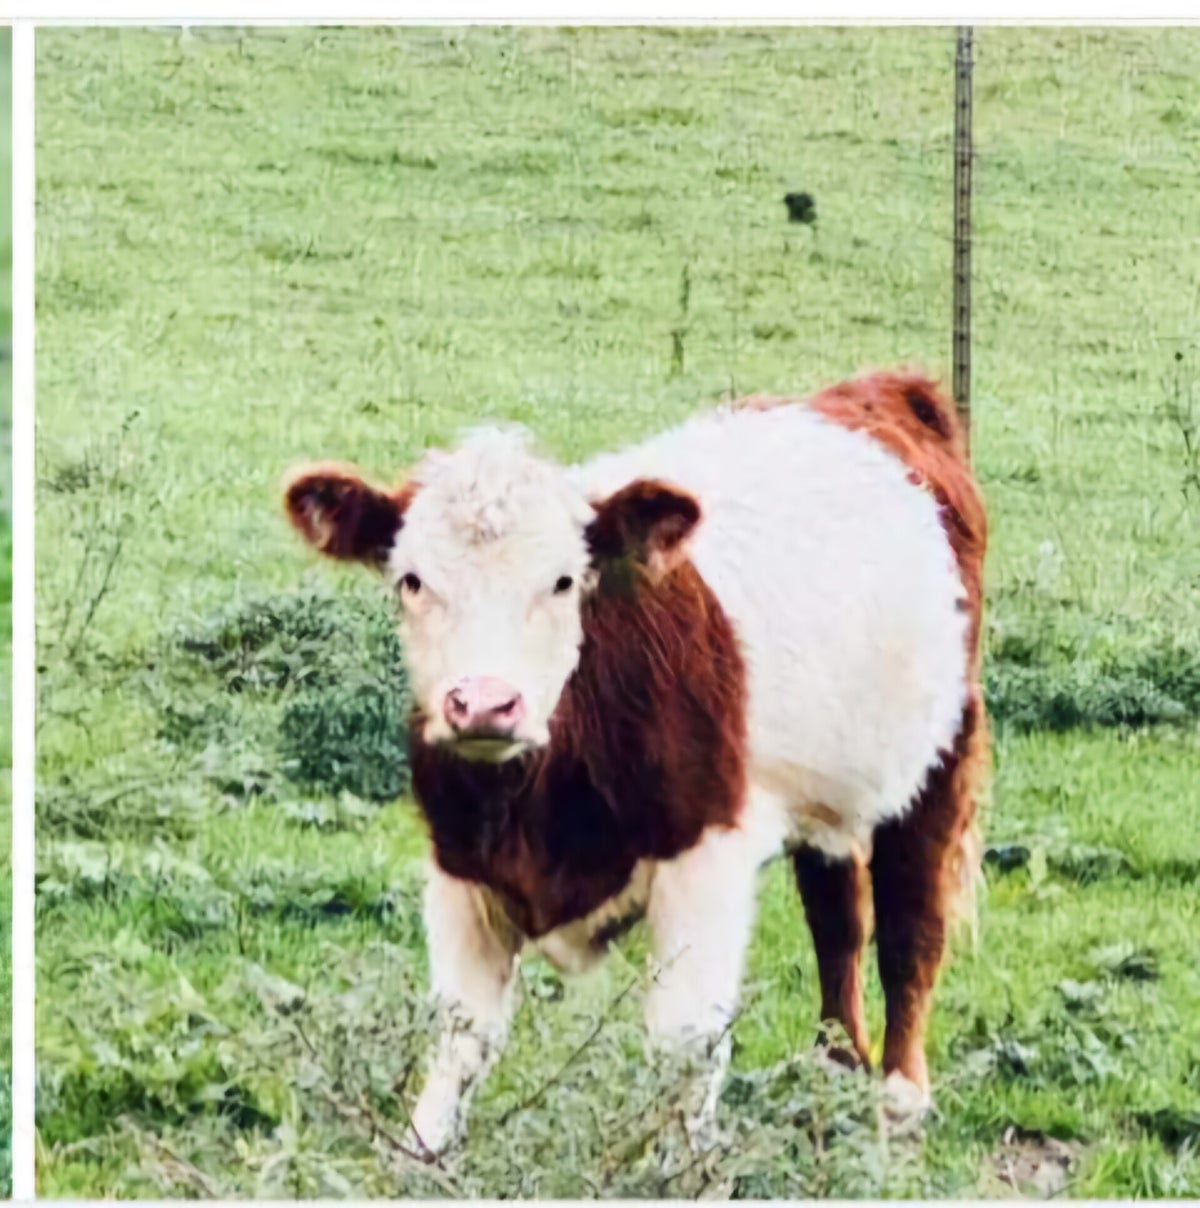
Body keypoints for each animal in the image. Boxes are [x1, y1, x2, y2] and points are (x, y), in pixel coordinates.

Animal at [282, 369, 988, 1156]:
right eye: (410, 580)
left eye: (564, 581)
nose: (485, 703)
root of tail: (878, 390)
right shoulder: (459, 861)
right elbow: (462, 1034)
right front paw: (422, 1152)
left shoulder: (706, 857)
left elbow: (684, 1045)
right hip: (828, 784)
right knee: (838, 917)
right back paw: (830, 1068)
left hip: (939, 752)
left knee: (909, 926)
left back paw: (899, 1100)